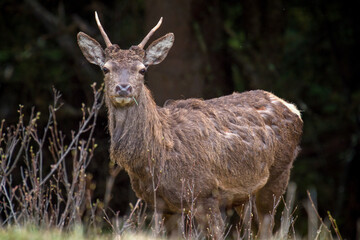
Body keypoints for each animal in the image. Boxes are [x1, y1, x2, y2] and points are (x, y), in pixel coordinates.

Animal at [76, 12, 304, 238]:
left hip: (278, 176)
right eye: (106, 69)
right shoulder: (162, 205)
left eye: (142, 70)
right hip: (246, 195)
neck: (158, 157)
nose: (123, 88)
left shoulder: (205, 193)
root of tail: (293, 108)